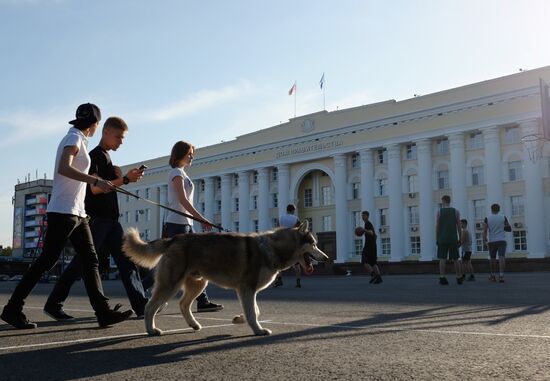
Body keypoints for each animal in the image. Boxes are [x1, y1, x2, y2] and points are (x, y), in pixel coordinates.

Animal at [124, 220, 328, 336]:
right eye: (314, 244)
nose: (326, 258)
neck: (271, 248)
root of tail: (174, 238)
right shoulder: (247, 288)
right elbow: (253, 312)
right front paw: (258, 330)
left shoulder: (247, 290)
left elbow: (255, 310)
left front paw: (240, 319)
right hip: (170, 284)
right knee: (150, 307)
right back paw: (151, 330)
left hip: (198, 283)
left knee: (183, 304)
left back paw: (194, 324)